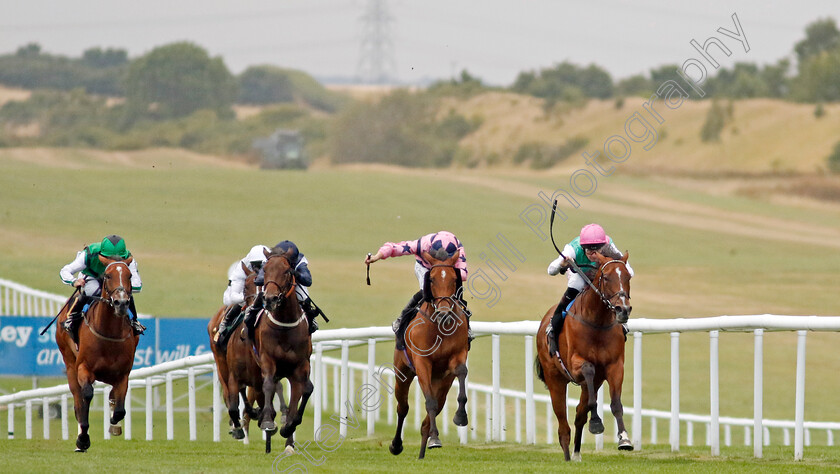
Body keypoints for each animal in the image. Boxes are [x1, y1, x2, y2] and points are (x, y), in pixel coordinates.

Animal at [55, 256, 139, 452]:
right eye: (107, 275)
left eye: (130, 276)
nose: (121, 303)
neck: (109, 333)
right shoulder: (83, 368)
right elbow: (86, 395)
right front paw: (83, 439)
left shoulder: (122, 374)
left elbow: (120, 409)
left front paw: (115, 424)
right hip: (69, 363)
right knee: (78, 397)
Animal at [254, 246, 314, 454]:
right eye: (265, 270)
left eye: (287, 271)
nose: (270, 298)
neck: (285, 326)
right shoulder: (267, 360)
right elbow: (268, 385)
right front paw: (267, 422)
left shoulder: (300, 367)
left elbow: (300, 394)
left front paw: (288, 428)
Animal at [390, 250, 470, 462]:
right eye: (432, 279)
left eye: (454, 279)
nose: (444, 313)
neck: (439, 326)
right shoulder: (422, 363)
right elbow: (429, 403)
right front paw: (435, 435)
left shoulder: (457, 356)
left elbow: (461, 372)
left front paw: (461, 416)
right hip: (402, 373)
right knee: (403, 407)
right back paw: (396, 445)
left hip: (442, 382)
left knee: (433, 410)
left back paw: (423, 450)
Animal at [536, 254, 632, 462]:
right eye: (606, 278)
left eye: (628, 277)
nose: (623, 309)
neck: (597, 323)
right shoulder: (575, 365)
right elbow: (588, 370)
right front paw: (596, 422)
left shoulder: (615, 366)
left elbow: (616, 403)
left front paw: (624, 439)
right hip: (555, 379)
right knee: (563, 424)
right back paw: (567, 456)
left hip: (593, 383)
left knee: (580, 413)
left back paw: (577, 453)